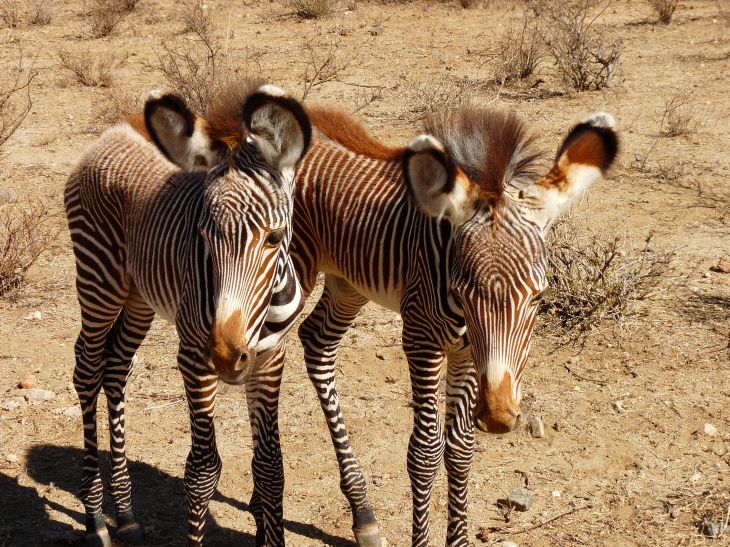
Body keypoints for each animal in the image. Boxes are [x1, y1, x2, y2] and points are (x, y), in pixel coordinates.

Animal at [64, 83, 311, 547]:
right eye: (202, 235)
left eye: (273, 238)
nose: (226, 355)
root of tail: (112, 132)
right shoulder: (194, 359)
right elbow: (202, 472)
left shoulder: (271, 359)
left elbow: (271, 468)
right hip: (99, 279)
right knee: (86, 367)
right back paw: (96, 517)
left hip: (139, 297)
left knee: (115, 367)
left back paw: (124, 511)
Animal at [141, 94, 618, 546]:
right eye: (464, 290)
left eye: (539, 298)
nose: (501, 417)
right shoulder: (422, 338)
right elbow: (424, 452)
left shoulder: (468, 352)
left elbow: (460, 449)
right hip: (290, 272)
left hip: (348, 282)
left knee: (317, 342)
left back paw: (356, 514)